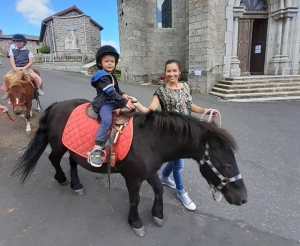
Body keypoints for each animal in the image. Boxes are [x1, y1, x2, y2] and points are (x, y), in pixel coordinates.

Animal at [12, 98, 247, 236]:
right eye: (226, 165)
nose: (243, 198)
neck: (151, 139)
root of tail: (57, 105)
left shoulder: (149, 171)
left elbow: (159, 190)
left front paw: (158, 214)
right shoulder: (133, 177)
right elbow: (135, 199)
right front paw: (135, 222)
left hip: (73, 150)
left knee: (73, 163)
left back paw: (76, 185)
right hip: (58, 146)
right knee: (54, 159)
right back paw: (62, 179)